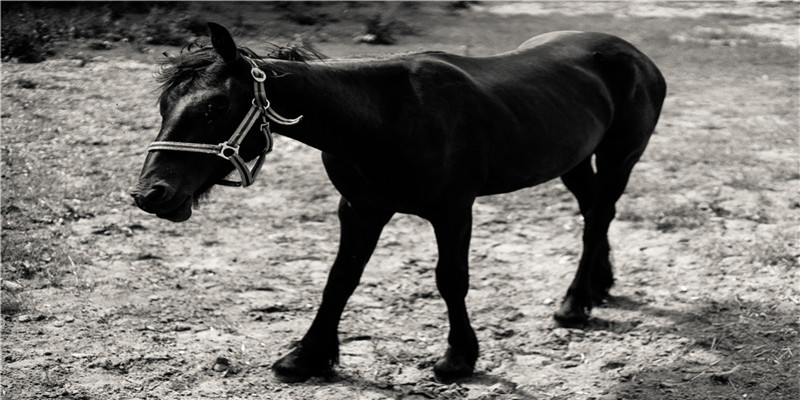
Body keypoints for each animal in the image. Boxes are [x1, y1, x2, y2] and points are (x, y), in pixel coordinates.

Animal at [131, 22, 664, 382]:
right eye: (164, 106)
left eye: (214, 107)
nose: (149, 194)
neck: (387, 119)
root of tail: (635, 54)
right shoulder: (360, 209)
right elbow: (340, 279)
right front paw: (307, 357)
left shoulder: (454, 210)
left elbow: (450, 280)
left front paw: (458, 358)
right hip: (574, 160)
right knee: (594, 213)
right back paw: (598, 287)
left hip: (619, 157)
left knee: (599, 215)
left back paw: (574, 303)